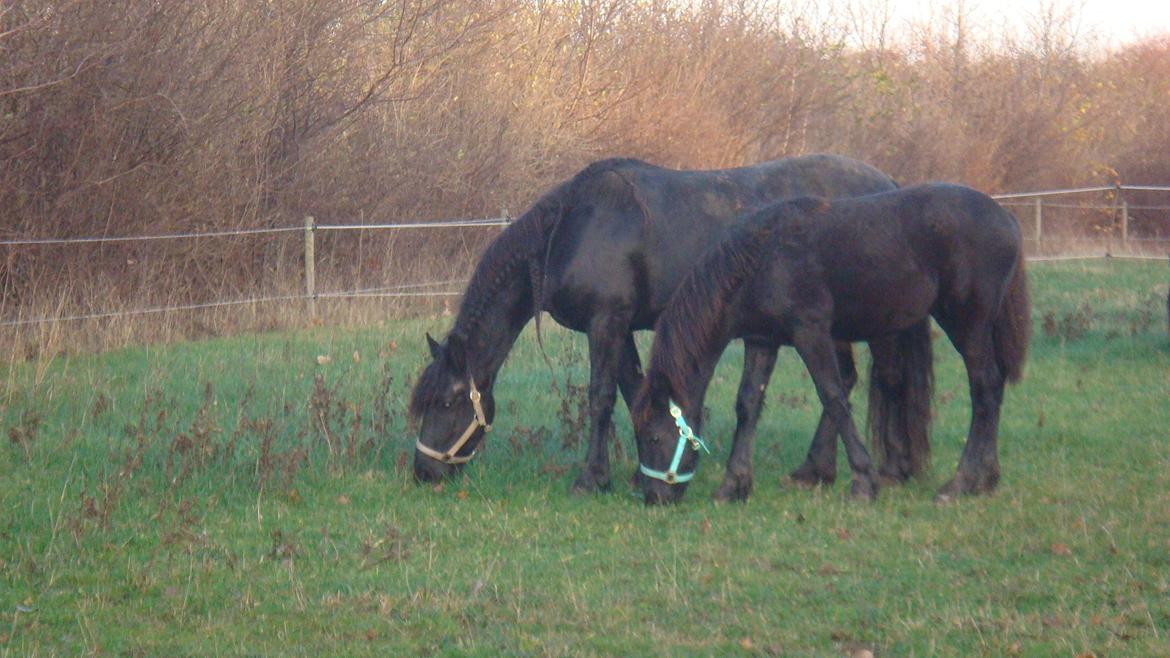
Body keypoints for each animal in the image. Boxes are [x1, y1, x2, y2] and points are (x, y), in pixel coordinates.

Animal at [411, 153, 931, 494]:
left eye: (446, 401)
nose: (423, 472)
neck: (573, 227)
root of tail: (886, 182)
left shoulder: (606, 322)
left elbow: (601, 399)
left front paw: (590, 479)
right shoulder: (620, 329)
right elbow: (631, 392)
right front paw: (638, 469)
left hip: (874, 324)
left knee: (885, 378)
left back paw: (889, 467)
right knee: (846, 379)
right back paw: (816, 470)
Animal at [636, 182, 1029, 501]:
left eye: (653, 438)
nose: (654, 497)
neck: (765, 258)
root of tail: (1008, 219)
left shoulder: (811, 333)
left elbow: (834, 397)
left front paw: (863, 483)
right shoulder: (762, 341)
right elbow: (748, 405)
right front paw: (733, 486)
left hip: (967, 324)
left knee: (985, 388)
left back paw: (963, 482)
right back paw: (985, 479)